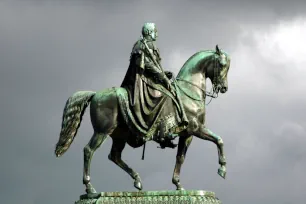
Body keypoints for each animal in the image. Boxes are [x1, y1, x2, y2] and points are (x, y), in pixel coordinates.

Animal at [55, 44, 230, 194]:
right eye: (222, 65)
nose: (224, 88)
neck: (188, 91)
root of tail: (95, 94)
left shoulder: (186, 134)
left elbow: (180, 158)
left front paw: (178, 184)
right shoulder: (195, 129)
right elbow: (219, 140)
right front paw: (222, 169)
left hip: (119, 136)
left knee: (114, 156)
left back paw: (137, 180)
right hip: (102, 131)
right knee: (88, 150)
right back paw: (90, 188)